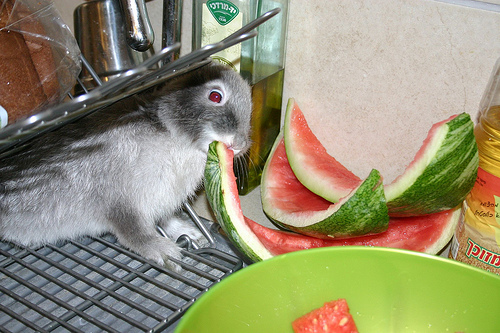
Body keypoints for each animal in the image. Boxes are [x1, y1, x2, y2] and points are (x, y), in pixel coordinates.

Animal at [0, 62, 252, 270]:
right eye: (215, 96)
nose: (240, 144)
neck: (173, 133)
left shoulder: (160, 201)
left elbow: (166, 221)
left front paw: (189, 233)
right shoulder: (121, 204)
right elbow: (134, 233)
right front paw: (165, 252)